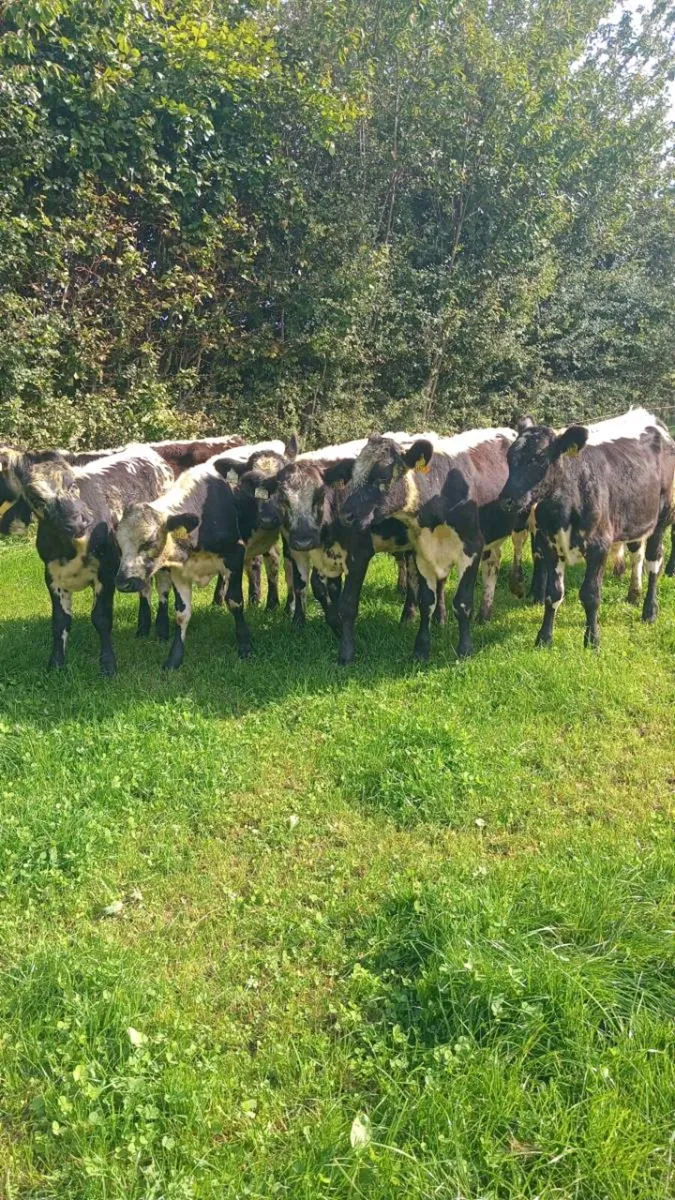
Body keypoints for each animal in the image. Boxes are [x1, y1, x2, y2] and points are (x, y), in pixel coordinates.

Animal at [5, 444, 181, 674]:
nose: (78, 522)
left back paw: (161, 630)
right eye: (37, 498)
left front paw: (108, 665)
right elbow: (60, 621)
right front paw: (56, 664)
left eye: (72, 484)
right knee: (144, 587)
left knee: (162, 587)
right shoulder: (52, 576)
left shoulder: (106, 572)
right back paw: (143, 628)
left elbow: (101, 617)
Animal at [114, 441, 285, 670]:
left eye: (149, 542)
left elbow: (235, 602)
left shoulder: (234, 554)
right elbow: (181, 613)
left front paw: (245, 646)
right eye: (119, 545)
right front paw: (174, 658)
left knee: (273, 563)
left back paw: (272, 603)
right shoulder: (179, 571)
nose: (123, 583)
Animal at [336, 428, 533, 662]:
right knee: (492, 563)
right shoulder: (423, 554)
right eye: (353, 475)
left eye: (383, 475)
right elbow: (426, 603)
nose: (346, 515)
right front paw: (421, 649)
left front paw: (464, 649)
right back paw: (485, 614)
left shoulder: (471, 548)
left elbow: (462, 603)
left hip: (522, 520)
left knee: (519, 546)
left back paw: (517, 583)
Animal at [500, 408, 675, 649]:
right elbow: (553, 594)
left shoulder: (599, 547)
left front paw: (592, 640)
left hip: (662, 517)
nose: (506, 500)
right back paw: (633, 594)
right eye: (509, 458)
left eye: (538, 458)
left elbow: (591, 595)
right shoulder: (549, 545)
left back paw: (650, 610)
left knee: (654, 561)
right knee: (636, 552)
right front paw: (544, 637)